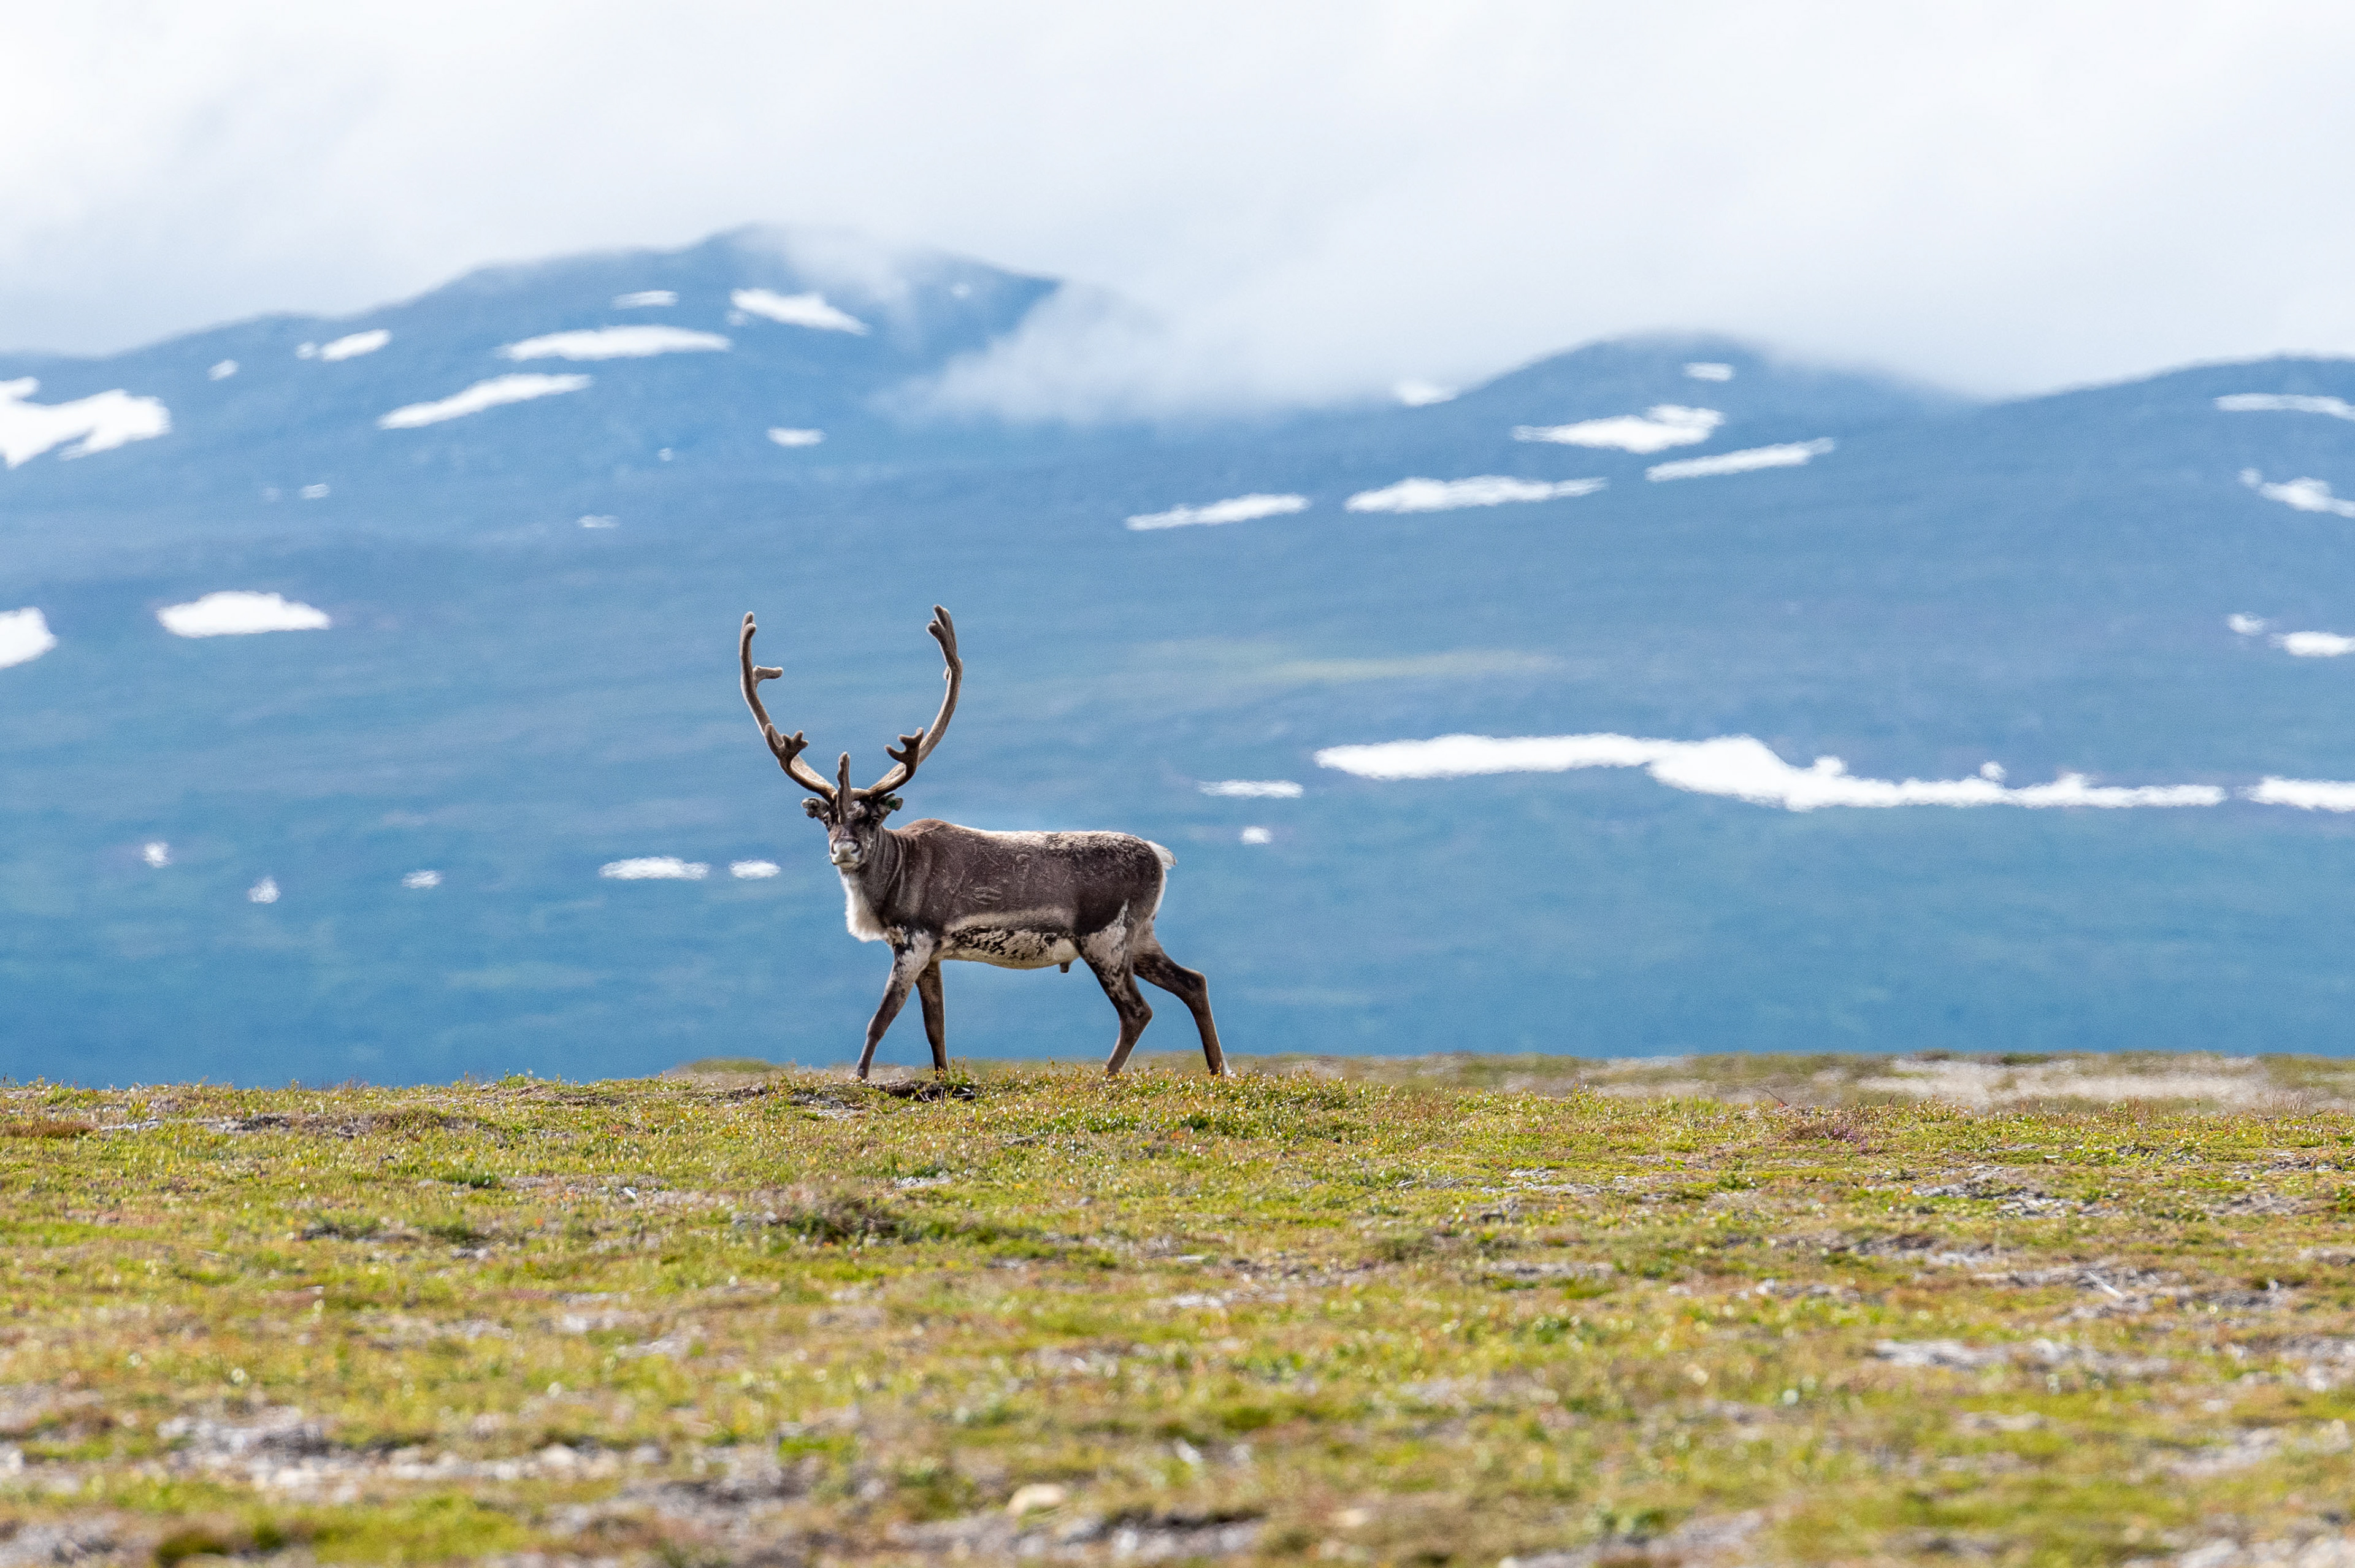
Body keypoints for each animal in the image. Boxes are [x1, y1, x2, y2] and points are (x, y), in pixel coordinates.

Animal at [739, 606, 1226, 1081]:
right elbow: (934, 1024)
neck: (894, 874)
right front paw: (943, 1078)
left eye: (872, 818)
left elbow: (881, 1018)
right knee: (1193, 982)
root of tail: (1159, 855)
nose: (844, 849)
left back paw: (1105, 1077)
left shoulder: (914, 942)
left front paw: (859, 1078)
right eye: (827, 819)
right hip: (1139, 936)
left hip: (1104, 939)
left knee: (1137, 1010)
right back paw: (1219, 1070)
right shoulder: (930, 953)